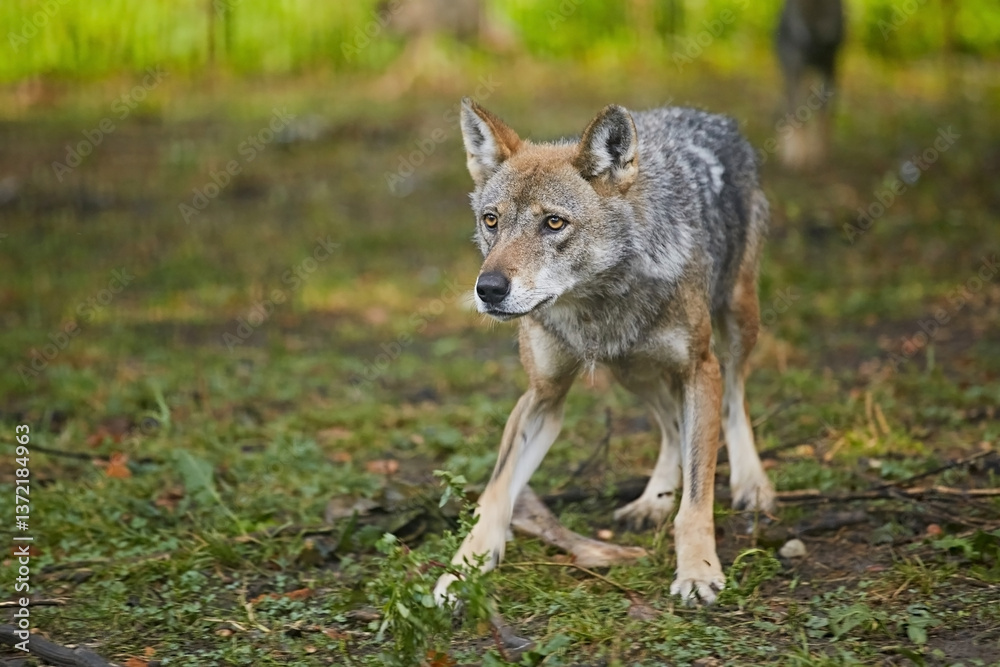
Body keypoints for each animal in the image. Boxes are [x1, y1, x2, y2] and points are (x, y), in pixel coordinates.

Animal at [434, 99, 777, 606]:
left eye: (554, 222)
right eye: (491, 220)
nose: (488, 289)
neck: (596, 305)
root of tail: (704, 114)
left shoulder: (700, 369)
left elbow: (698, 496)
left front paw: (697, 570)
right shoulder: (543, 396)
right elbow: (495, 492)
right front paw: (463, 570)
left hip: (736, 324)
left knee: (734, 401)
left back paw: (752, 484)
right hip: (631, 371)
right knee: (671, 426)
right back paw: (652, 500)